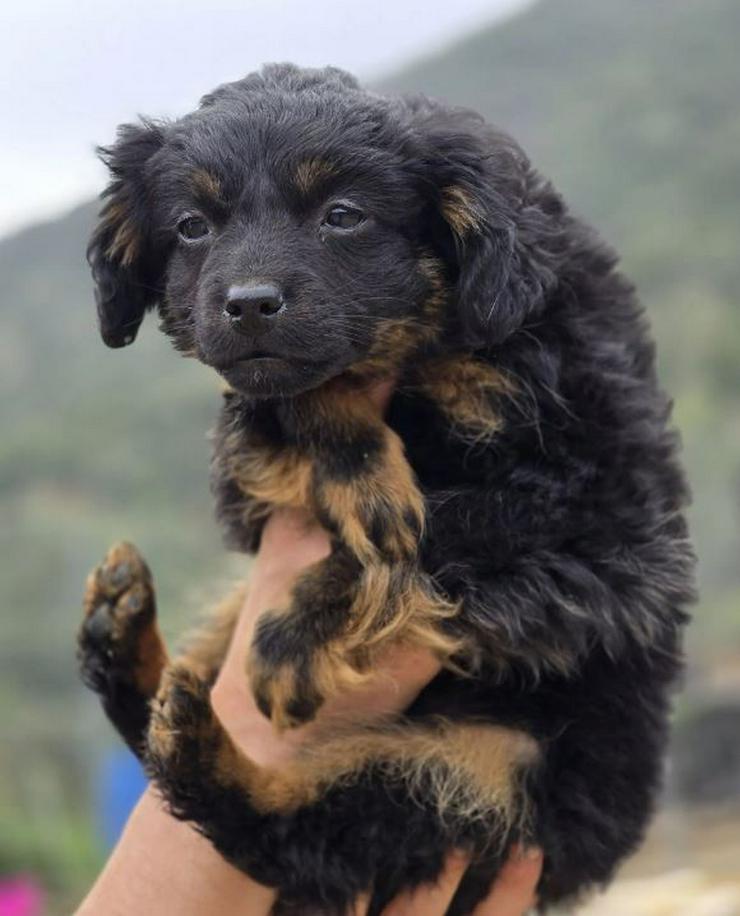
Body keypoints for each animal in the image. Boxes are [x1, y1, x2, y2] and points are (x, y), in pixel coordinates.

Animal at [78, 66, 696, 916]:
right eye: (192, 226)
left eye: (344, 216)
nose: (248, 304)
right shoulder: (250, 469)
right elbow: (303, 392)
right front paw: (361, 474)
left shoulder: (609, 513)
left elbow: (447, 528)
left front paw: (298, 631)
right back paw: (122, 643)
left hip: (483, 781)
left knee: (298, 835)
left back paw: (195, 743)